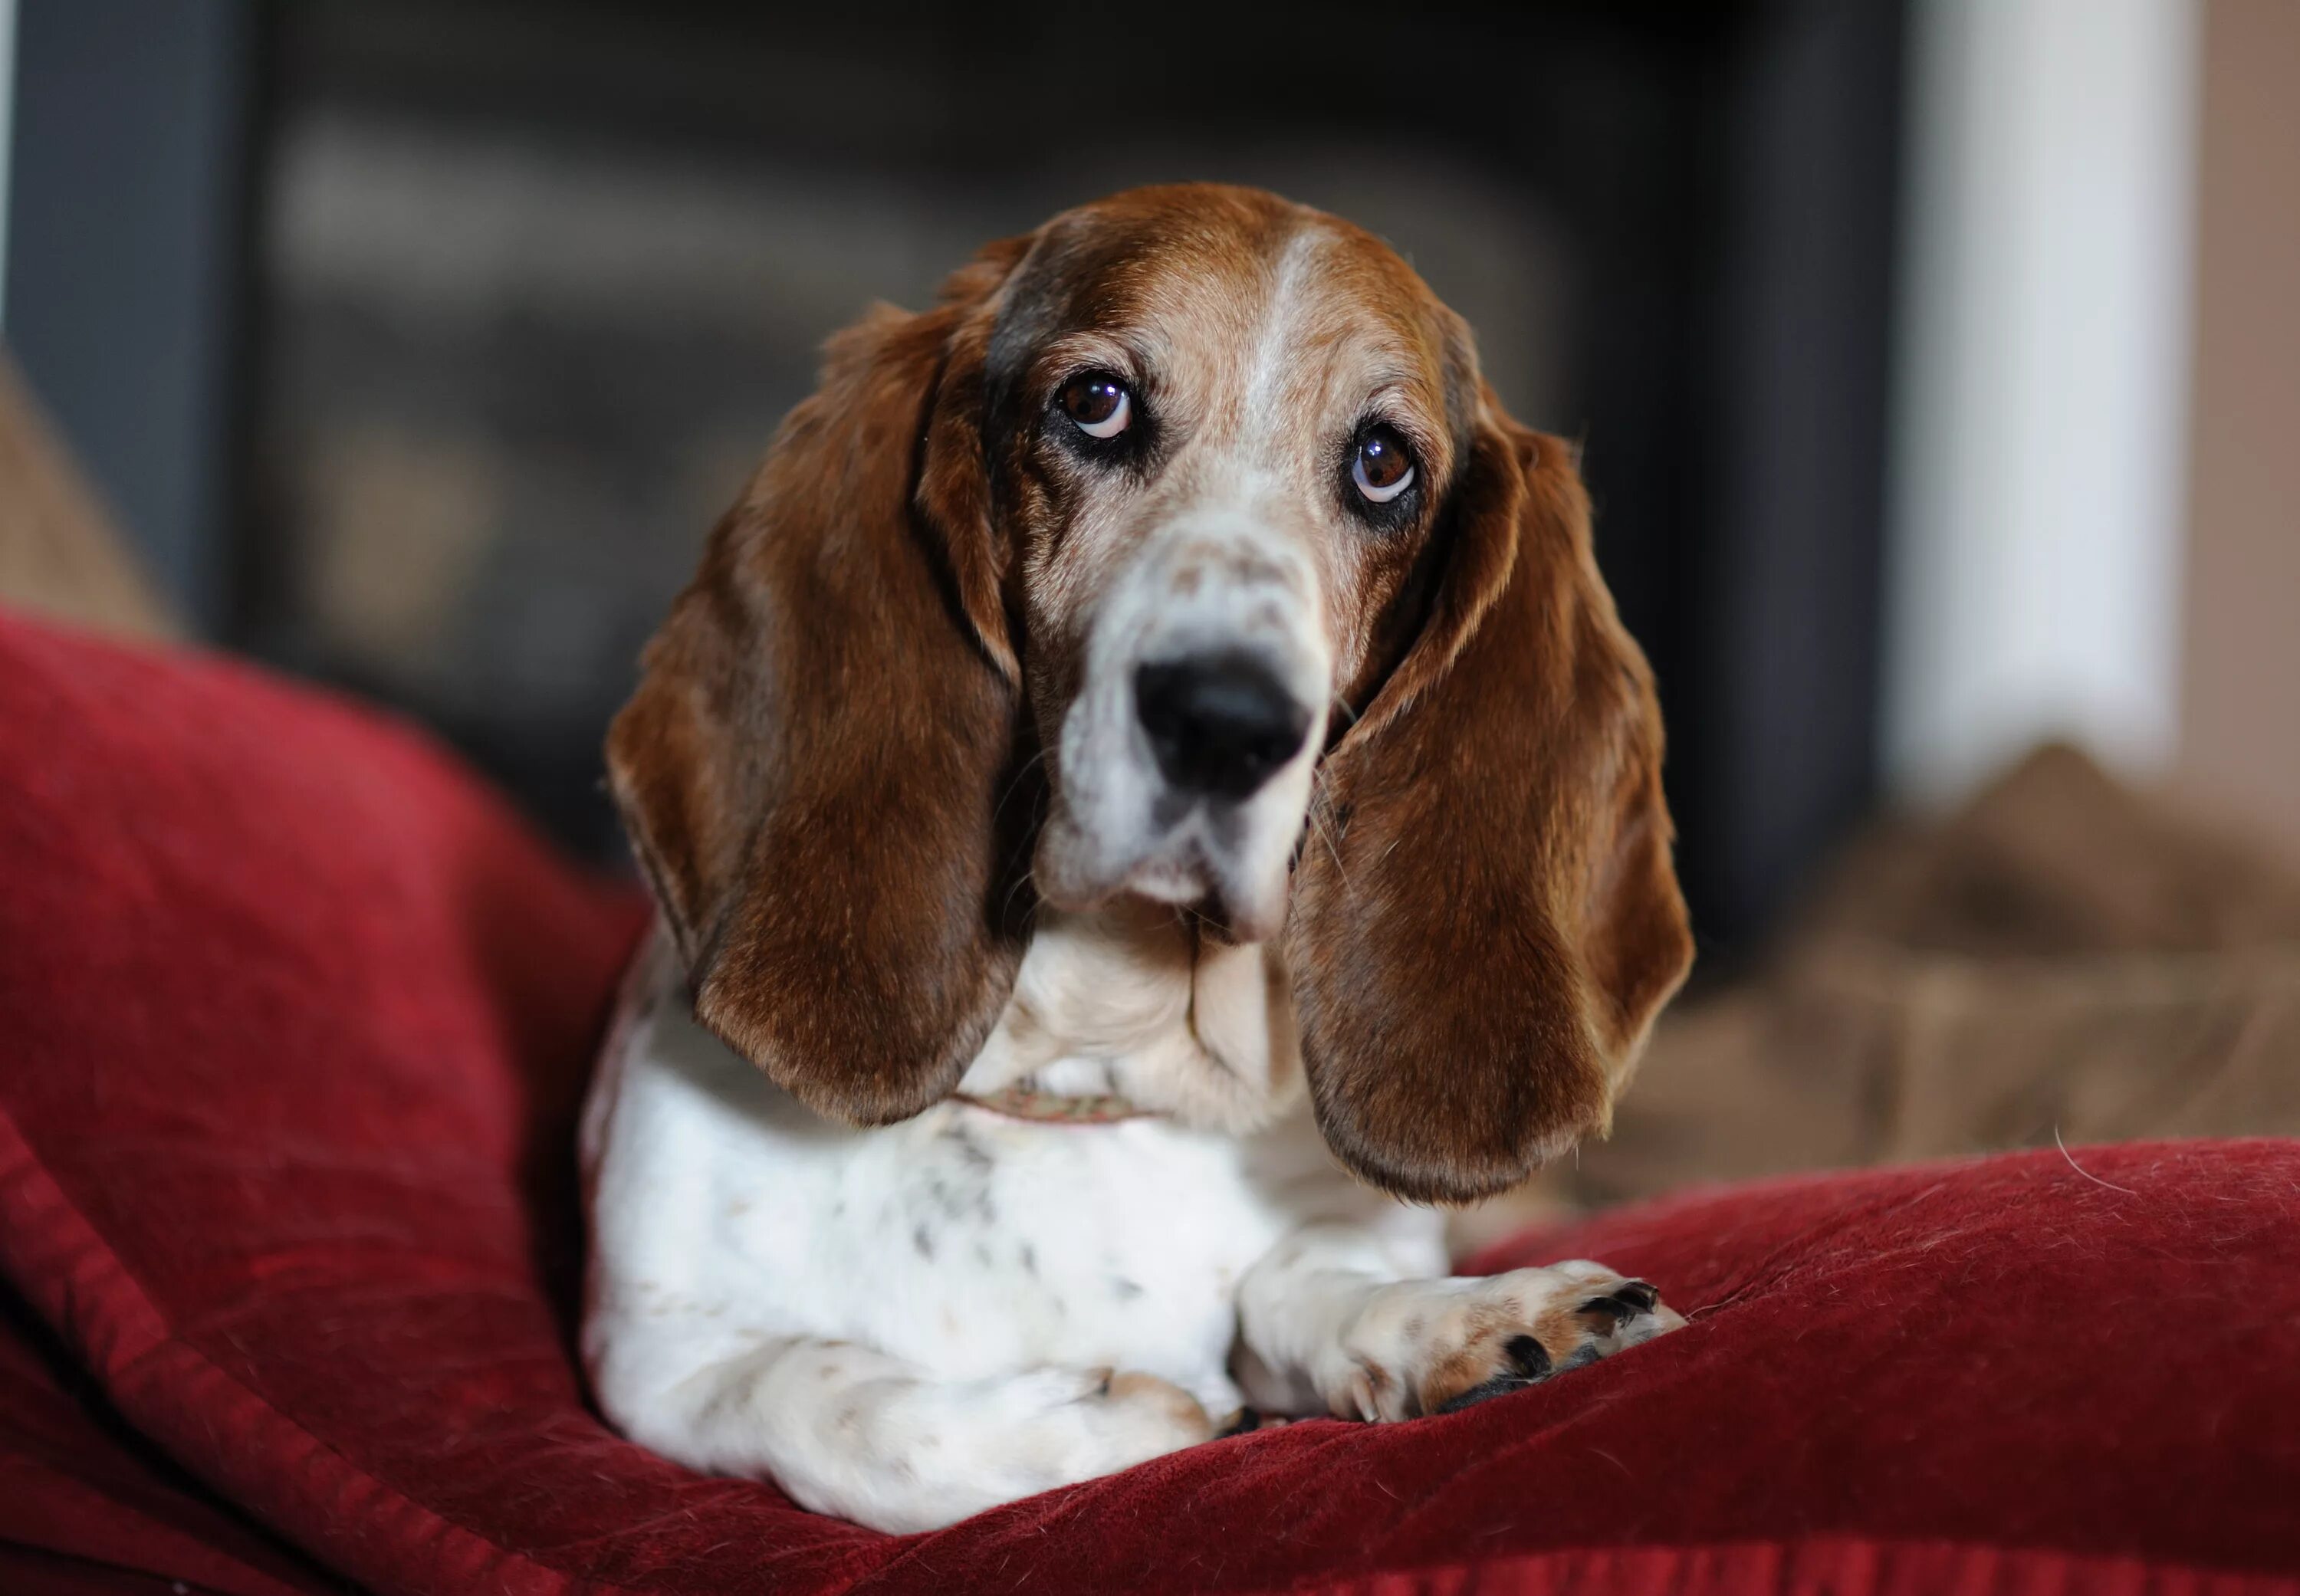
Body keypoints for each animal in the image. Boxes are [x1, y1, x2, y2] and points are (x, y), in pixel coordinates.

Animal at [580, 184, 1693, 1536]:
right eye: (1095, 402)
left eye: (1384, 464)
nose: (1226, 721)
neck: (1089, 1067)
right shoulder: (658, 1363)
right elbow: (831, 1401)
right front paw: (1135, 1415)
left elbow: (1303, 1280)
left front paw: (1472, 1321)